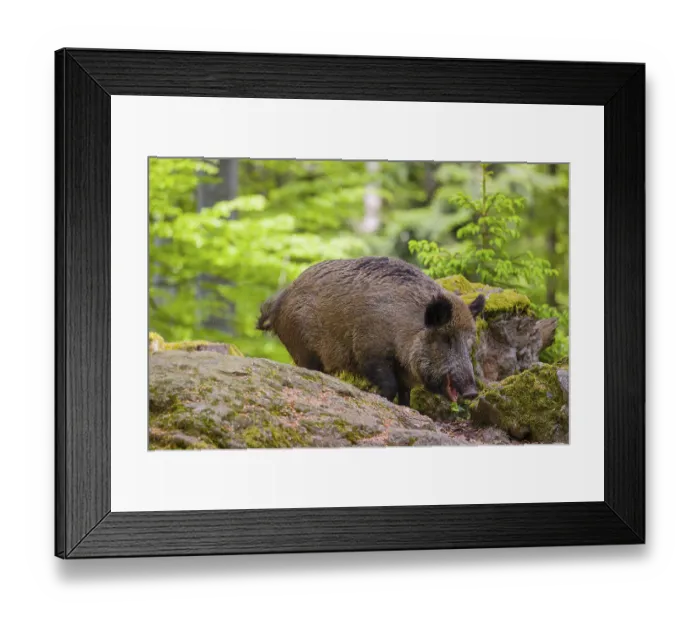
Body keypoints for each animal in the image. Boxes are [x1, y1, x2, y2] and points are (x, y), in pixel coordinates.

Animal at [257, 257, 485, 407]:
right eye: (446, 339)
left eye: (469, 342)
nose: (472, 392)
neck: (404, 327)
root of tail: (279, 302)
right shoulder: (369, 351)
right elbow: (389, 386)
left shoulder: (404, 373)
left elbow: (406, 395)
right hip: (304, 349)